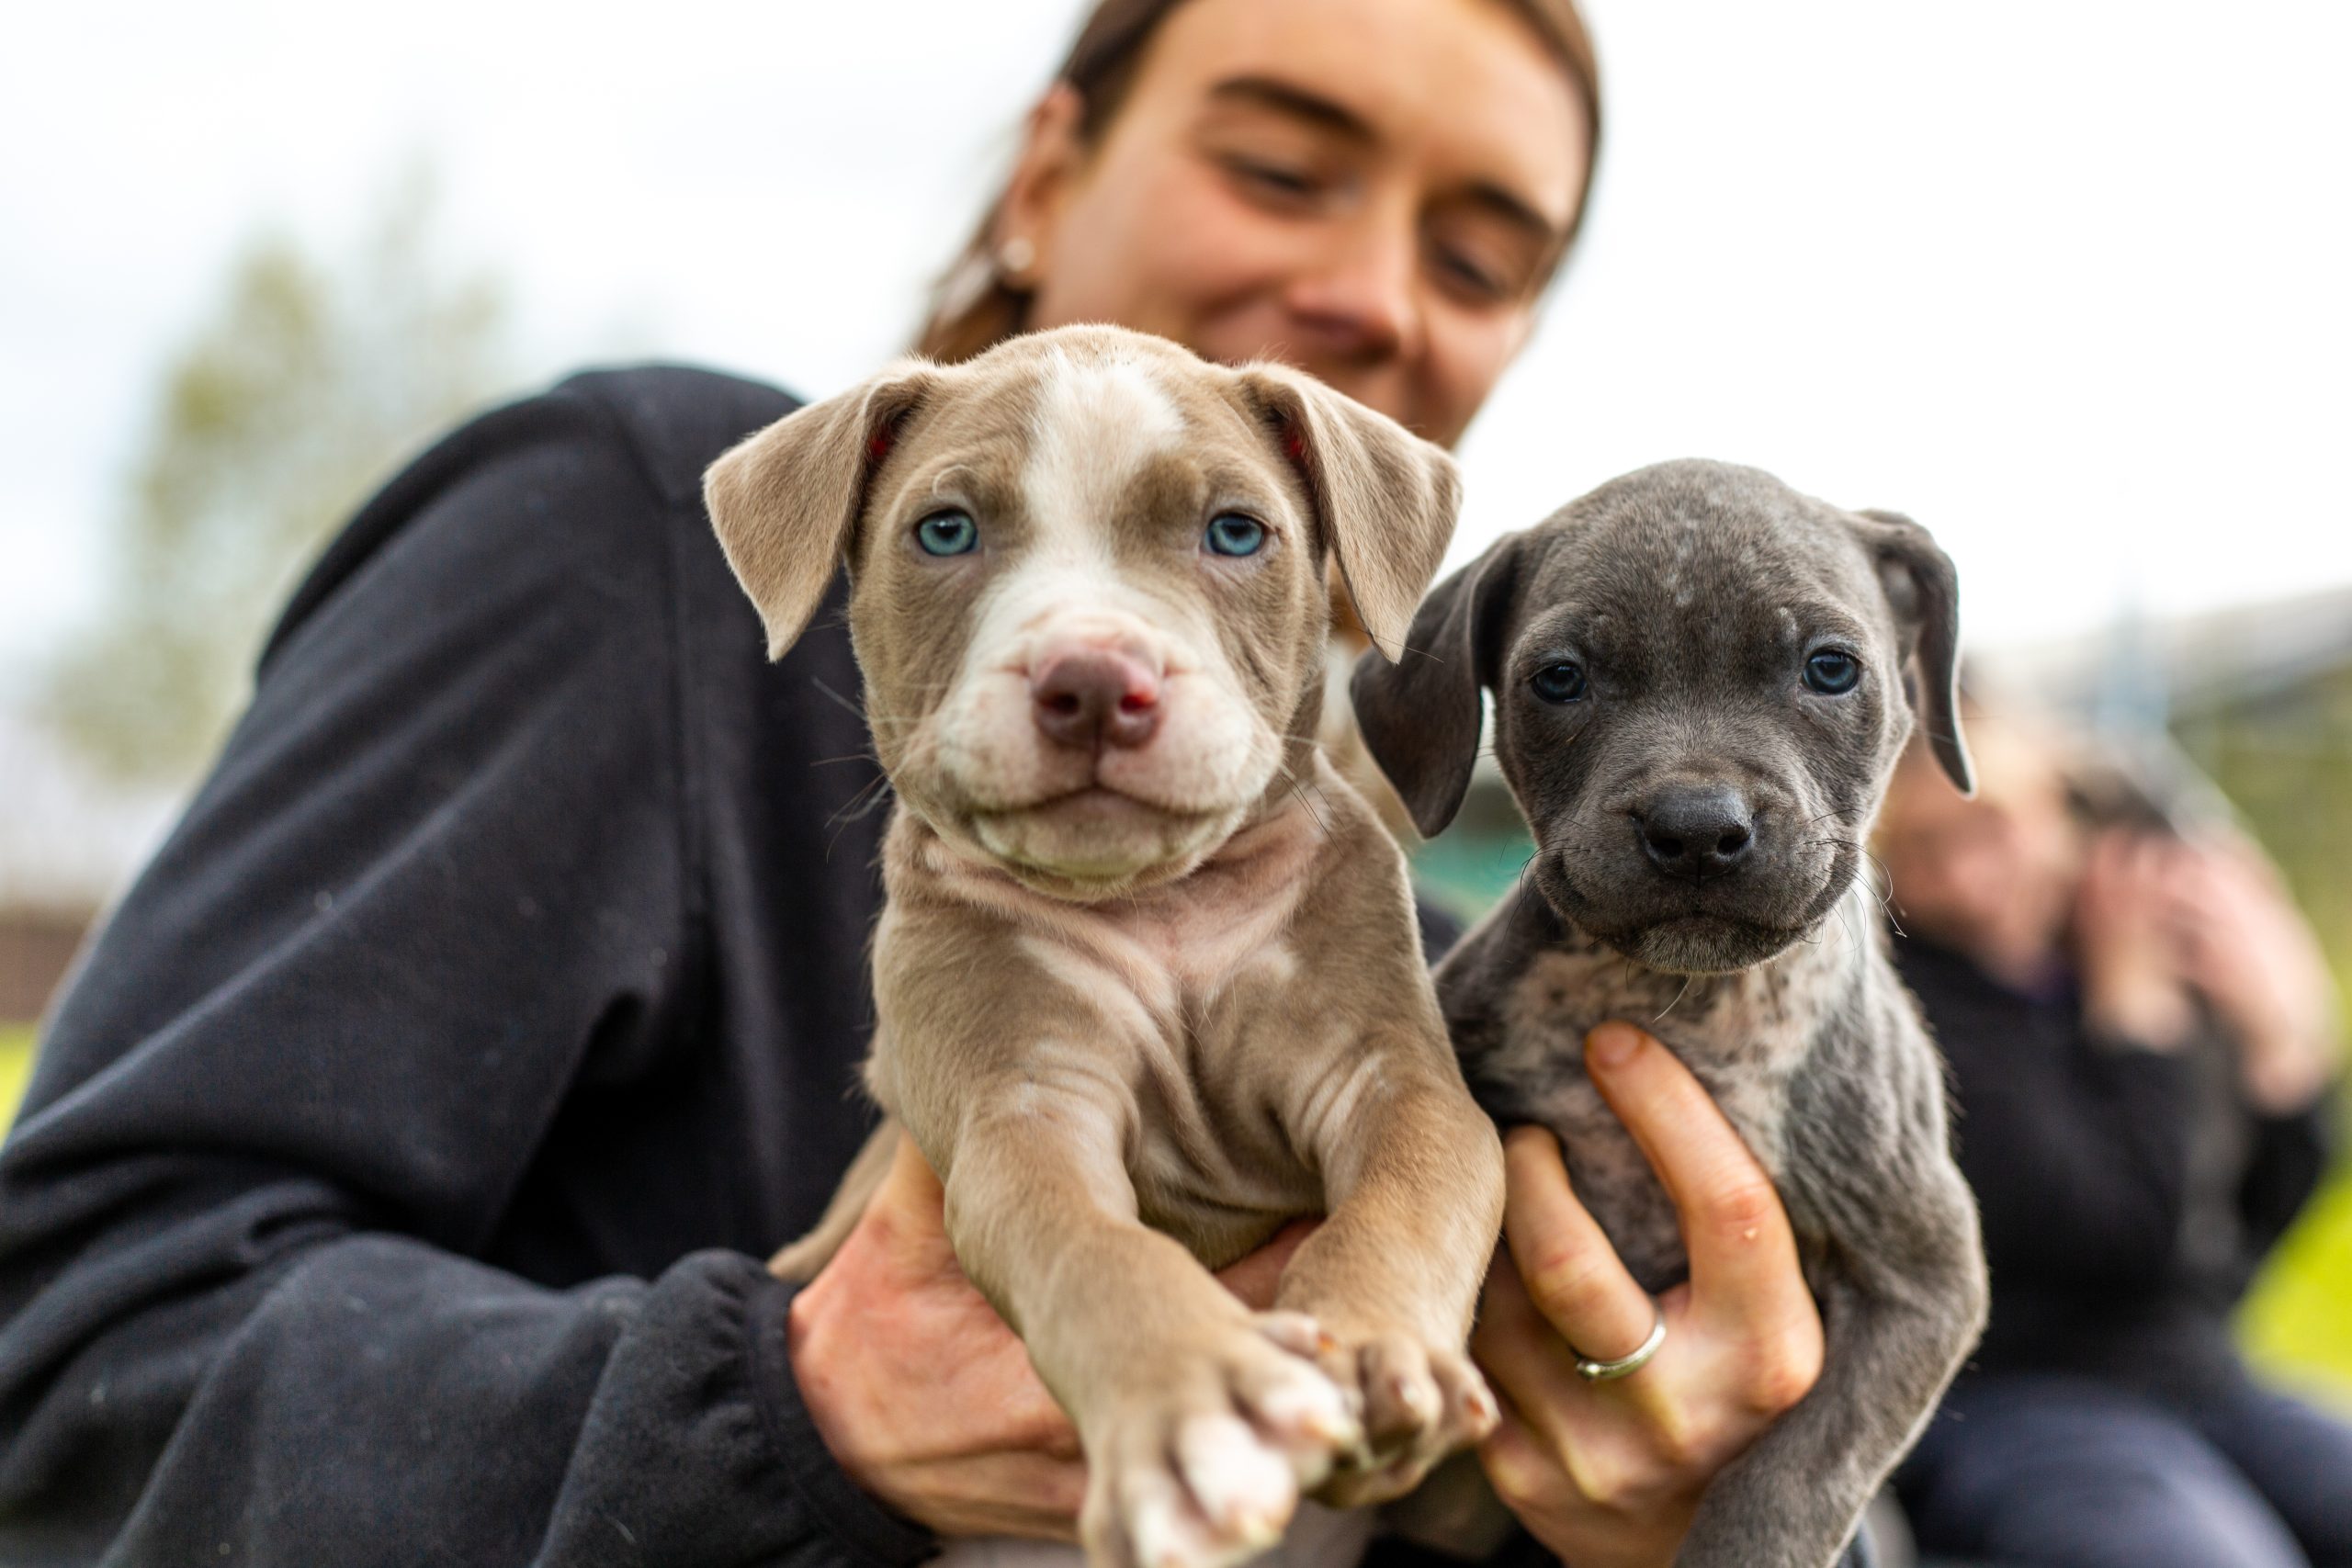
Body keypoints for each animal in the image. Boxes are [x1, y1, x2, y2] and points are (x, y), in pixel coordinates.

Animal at [700, 329, 1505, 1568]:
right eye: (945, 531)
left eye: (1236, 531)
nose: (1089, 681)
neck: (1158, 909)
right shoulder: (1021, 1109)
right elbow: (1092, 1247)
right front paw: (1197, 1405)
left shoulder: (1392, 1074)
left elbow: (1409, 1194)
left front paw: (1374, 1345)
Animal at [1363, 456, 1984, 1568]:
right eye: (1560, 678)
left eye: (1831, 669)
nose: (1696, 827)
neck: (1678, 1004)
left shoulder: (1924, 1274)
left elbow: (1796, 1472)